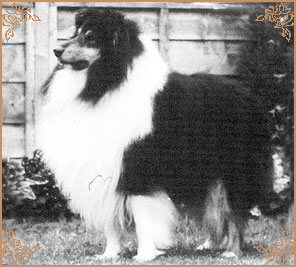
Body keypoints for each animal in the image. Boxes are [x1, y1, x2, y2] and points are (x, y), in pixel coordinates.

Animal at [35, 8, 274, 262]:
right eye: (76, 32)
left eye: (90, 38)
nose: (57, 50)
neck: (106, 86)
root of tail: (251, 97)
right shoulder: (106, 172)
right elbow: (111, 224)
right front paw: (109, 255)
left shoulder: (137, 171)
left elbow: (143, 219)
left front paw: (145, 254)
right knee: (215, 212)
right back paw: (208, 246)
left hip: (235, 173)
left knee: (234, 212)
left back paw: (231, 252)